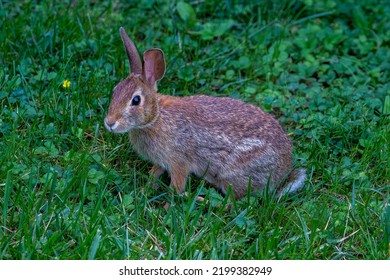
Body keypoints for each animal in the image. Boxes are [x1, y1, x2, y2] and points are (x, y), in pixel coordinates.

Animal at [105, 27, 306, 200]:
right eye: (115, 91)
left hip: (234, 173)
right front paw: (146, 188)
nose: (109, 122)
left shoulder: (179, 162)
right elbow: (155, 172)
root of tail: (282, 172)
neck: (156, 117)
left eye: (136, 100)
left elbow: (176, 188)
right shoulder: (162, 161)